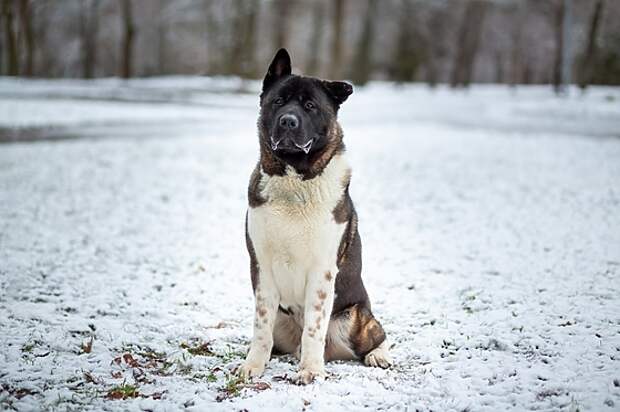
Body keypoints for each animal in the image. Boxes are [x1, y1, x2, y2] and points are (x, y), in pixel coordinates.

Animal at [240, 50, 390, 384]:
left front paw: (310, 370)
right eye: (278, 101)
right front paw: (252, 366)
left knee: (378, 334)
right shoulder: (261, 268)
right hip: (283, 322)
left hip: (354, 320)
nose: (288, 120)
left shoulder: (322, 271)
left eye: (310, 106)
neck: (295, 180)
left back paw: (378, 355)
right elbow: (260, 326)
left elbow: (314, 326)